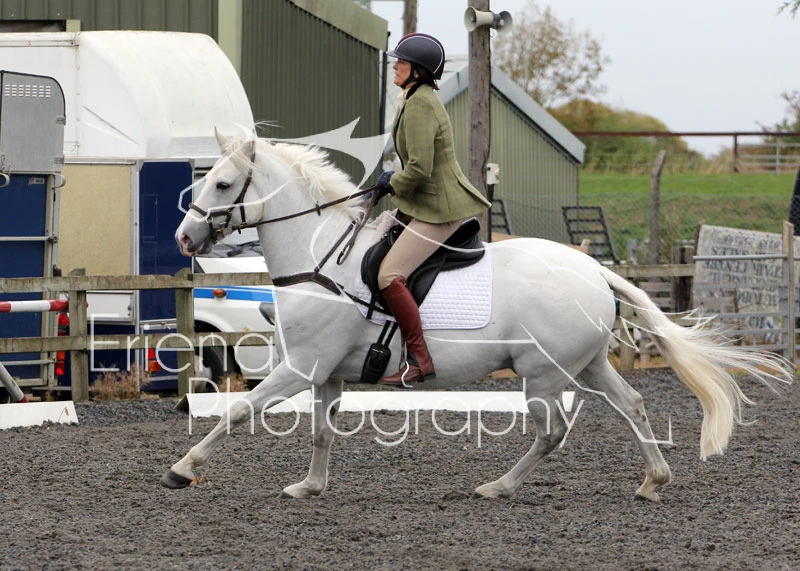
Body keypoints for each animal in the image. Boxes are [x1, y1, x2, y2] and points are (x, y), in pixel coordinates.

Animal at [162, 131, 793, 501]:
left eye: (222, 182)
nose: (184, 238)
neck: (320, 258)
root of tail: (592, 270)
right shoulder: (326, 373)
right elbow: (320, 430)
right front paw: (310, 487)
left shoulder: (300, 366)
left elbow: (238, 411)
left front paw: (184, 468)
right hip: (587, 364)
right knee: (632, 403)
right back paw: (653, 481)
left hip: (542, 375)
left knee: (553, 431)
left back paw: (497, 486)